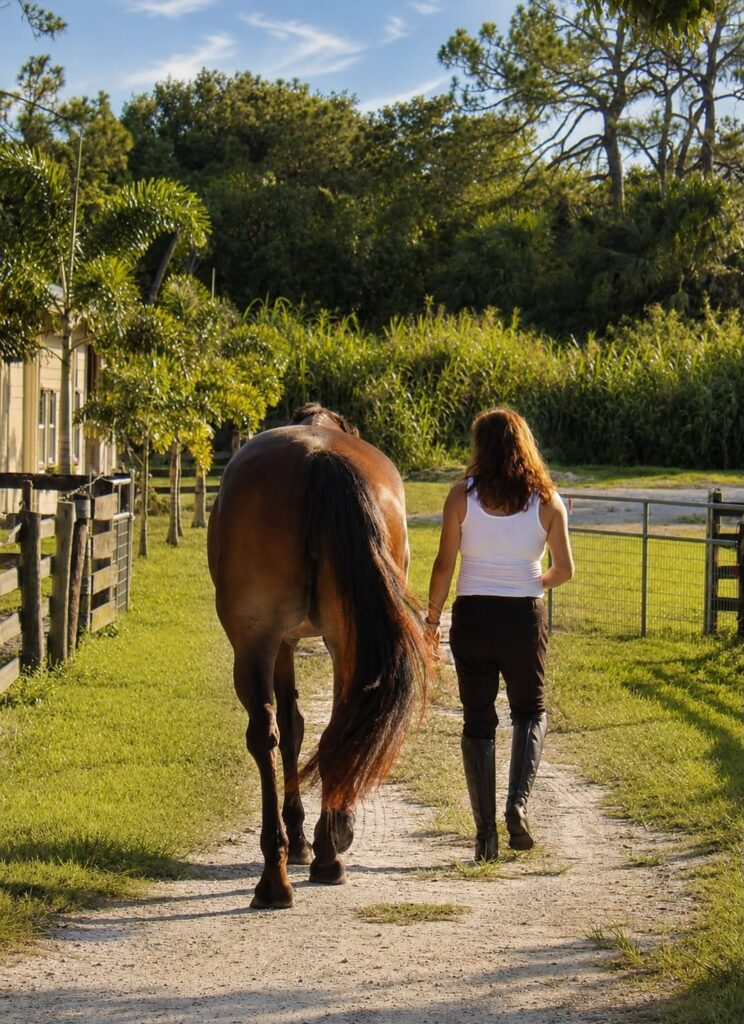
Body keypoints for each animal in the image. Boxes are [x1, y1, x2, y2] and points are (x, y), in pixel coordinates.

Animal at [207, 404, 430, 909]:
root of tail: (316, 458)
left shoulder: (285, 643)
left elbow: (291, 727)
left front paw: (301, 838)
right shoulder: (299, 642)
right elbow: (299, 728)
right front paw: (319, 835)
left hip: (257, 641)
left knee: (269, 734)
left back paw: (278, 876)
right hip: (324, 638)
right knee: (327, 730)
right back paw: (325, 854)